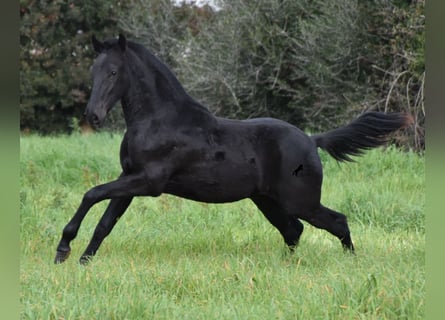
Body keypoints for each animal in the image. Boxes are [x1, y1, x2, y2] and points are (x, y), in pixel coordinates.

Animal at [54, 35, 410, 264]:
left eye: (114, 72)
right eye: (93, 71)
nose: (93, 116)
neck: (159, 119)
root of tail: (312, 141)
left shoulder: (148, 181)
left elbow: (91, 194)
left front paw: (63, 248)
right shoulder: (130, 178)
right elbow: (105, 222)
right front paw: (82, 260)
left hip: (300, 201)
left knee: (336, 222)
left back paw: (352, 262)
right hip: (267, 200)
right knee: (293, 230)